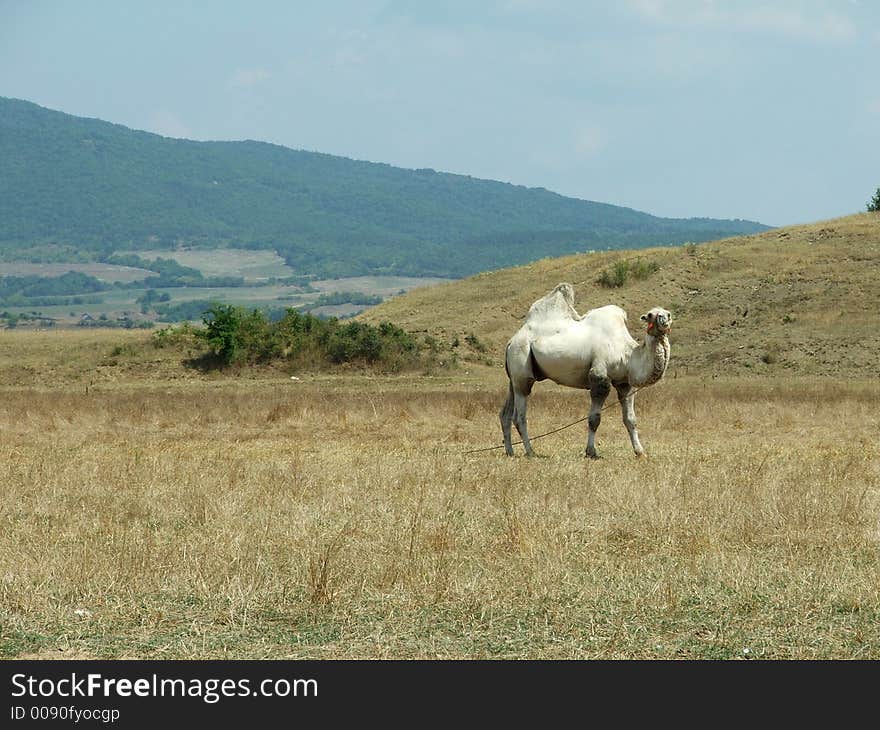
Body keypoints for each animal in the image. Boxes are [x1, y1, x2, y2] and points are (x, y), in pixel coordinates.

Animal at [498, 282, 672, 458]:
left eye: (668, 313)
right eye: (650, 315)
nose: (664, 319)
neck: (628, 354)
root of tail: (512, 341)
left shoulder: (624, 383)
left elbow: (630, 419)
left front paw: (640, 452)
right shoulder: (599, 377)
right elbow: (594, 419)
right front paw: (591, 451)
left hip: (514, 376)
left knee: (505, 413)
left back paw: (510, 451)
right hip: (521, 358)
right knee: (519, 415)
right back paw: (530, 452)